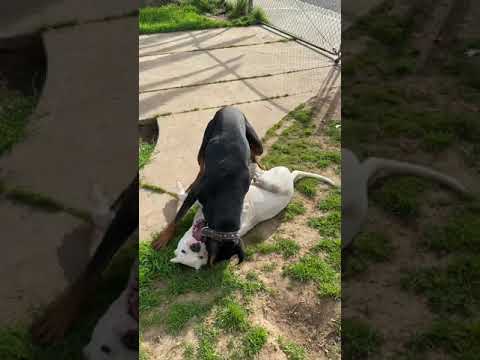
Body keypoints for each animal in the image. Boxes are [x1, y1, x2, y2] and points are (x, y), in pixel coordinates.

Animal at [153, 105, 262, 266]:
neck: (227, 195)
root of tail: (229, 107)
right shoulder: (194, 195)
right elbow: (177, 217)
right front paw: (163, 238)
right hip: (204, 143)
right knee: (201, 165)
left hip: (255, 141)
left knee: (255, 151)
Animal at [171, 165, 336, 268]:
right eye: (201, 257)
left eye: (183, 250)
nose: (196, 247)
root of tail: (291, 178)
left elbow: (184, 199)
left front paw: (179, 189)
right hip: (282, 186)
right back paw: (256, 174)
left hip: (276, 176)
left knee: (265, 175)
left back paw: (255, 173)